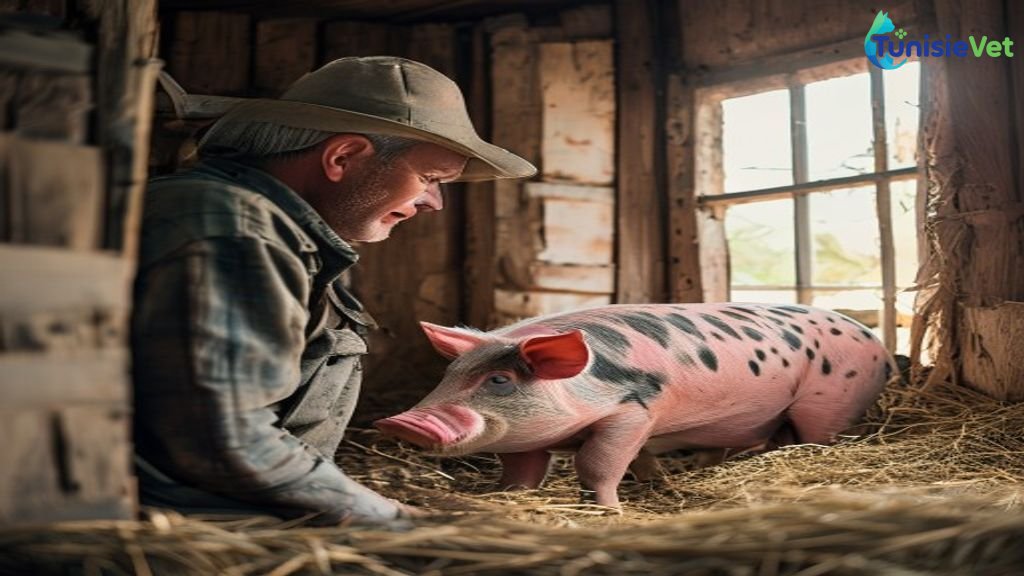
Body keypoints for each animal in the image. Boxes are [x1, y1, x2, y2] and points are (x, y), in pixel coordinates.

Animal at [374, 303, 893, 507]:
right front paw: (503, 497)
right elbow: (522, 470)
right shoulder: (529, 436)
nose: (400, 423)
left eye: (500, 380)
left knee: (817, 438)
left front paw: (610, 511)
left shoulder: (631, 412)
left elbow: (597, 464)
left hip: (830, 401)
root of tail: (878, 344)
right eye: (448, 377)